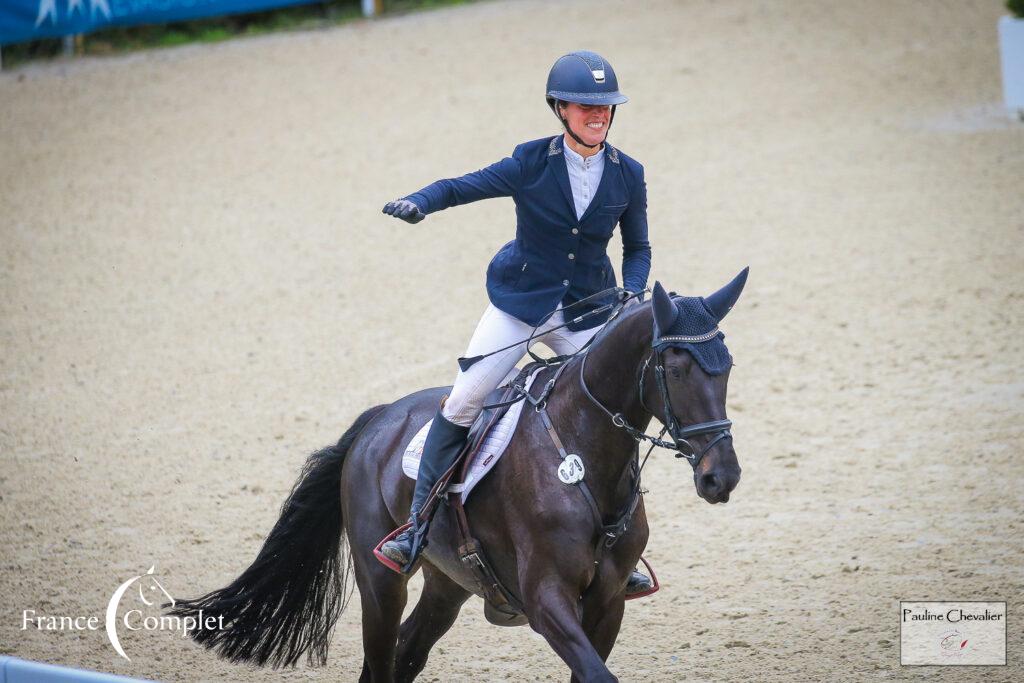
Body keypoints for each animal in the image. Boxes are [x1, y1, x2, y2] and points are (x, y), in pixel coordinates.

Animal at [165, 272, 745, 683]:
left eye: (728, 366)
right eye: (675, 370)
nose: (723, 478)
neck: (583, 459)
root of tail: (379, 419)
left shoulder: (607, 603)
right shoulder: (546, 598)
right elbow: (597, 674)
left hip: (448, 584)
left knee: (405, 653)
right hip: (381, 581)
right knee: (383, 657)